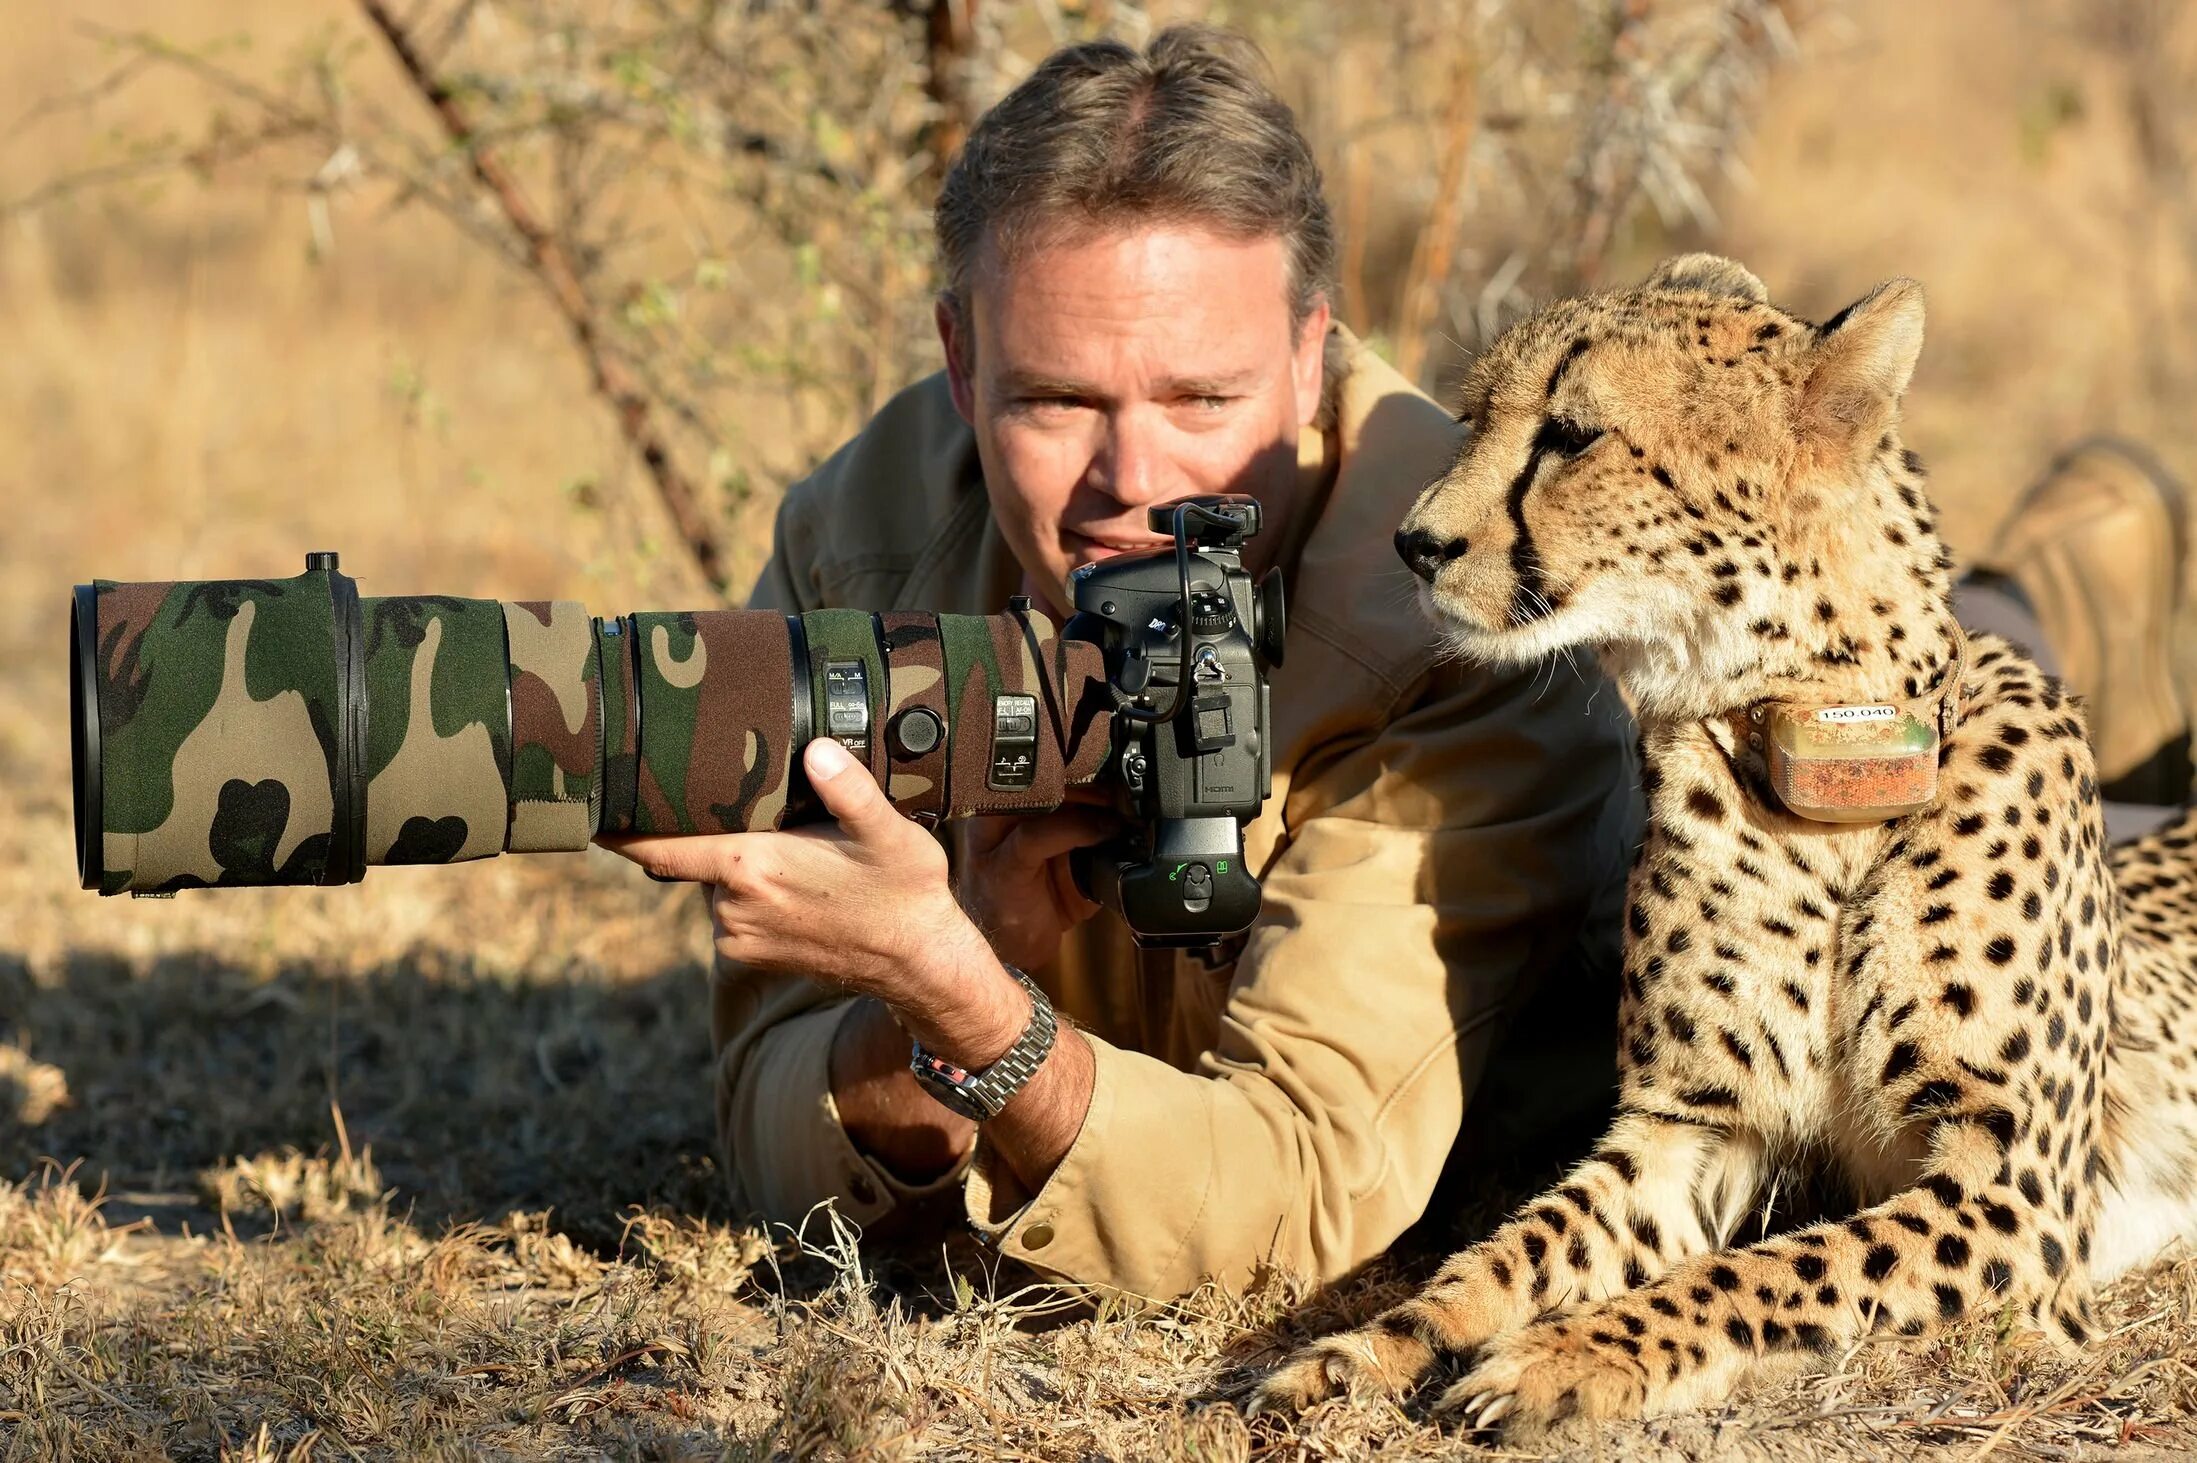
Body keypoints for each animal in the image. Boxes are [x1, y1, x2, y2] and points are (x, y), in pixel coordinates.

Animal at [1256, 250, 2197, 1423]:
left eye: (1572, 434)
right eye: (1474, 418)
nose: (1415, 542)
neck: (1821, 762)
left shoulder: (2011, 1194)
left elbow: (1771, 1268)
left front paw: (1564, 1353)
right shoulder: (1689, 1129)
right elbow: (1512, 1250)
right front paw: (1366, 1347)